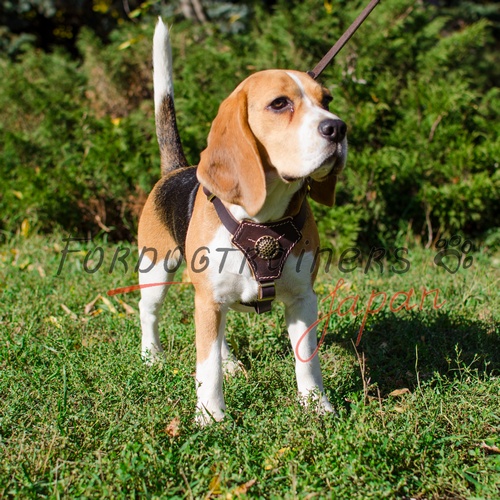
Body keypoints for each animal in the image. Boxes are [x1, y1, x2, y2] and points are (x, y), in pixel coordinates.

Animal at [137, 20, 348, 426]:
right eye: (279, 104)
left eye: (326, 100)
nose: (338, 128)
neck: (262, 224)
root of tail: (176, 169)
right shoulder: (206, 300)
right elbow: (206, 367)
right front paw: (210, 415)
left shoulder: (303, 299)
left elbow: (307, 360)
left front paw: (317, 405)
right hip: (156, 271)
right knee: (149, 312)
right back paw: (151, 356)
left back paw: (231, 361)